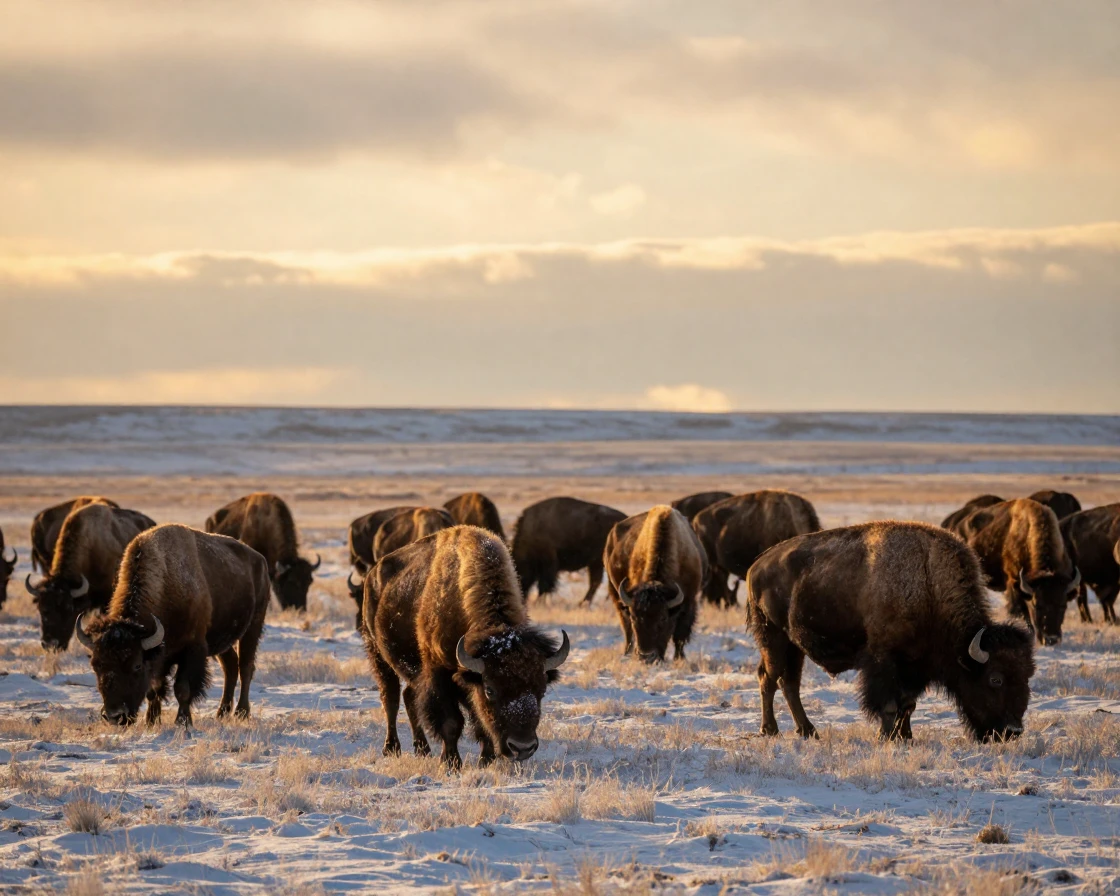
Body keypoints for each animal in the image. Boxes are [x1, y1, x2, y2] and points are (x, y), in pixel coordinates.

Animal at [75, 524, 270, 726]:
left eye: (136, 665)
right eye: (96, 665)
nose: (114, 716)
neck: (166, 582)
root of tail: (260, 560)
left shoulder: (192, 649)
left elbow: (182, 689)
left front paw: (183, 722)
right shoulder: (161, 658)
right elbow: (154, 689)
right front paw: (151, 721)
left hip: (253, 627)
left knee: (246, 667)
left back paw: (242, 713)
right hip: (222, 640)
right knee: (230, 666)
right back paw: (222, 713)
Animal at [361, 525, 569, 767]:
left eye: (542, 689)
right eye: (490, 689)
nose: (522, 747)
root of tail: (372, 575)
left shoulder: (468, 680)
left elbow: (479, 719)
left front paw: (486, 760)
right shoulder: (439, 673)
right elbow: (452, 722)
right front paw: (451, 763)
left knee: (409, 697)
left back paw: (423, 750)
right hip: (377, 654)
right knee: (391, 699)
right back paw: (391, 748)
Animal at [604, 505, 706, 662]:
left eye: (663, 619)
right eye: (635, 617)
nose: (646, 657)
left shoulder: (689, 601)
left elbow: (680, 635)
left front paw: (680, 659)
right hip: (614, 591)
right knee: (626, 629)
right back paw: (627, 653)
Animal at [746, 521, 1035, 742]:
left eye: (1027, 676)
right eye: (995, 679)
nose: (1013, 731)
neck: (927, 583)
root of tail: (756, 566)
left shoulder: (916, 666)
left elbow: (908, 704)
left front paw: (905, 736)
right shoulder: (884, 661)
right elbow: (889, 705)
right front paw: (886, 736)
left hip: (794, 645)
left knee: (789, 683)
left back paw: (808, 731)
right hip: (773, 638)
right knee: (768, 678)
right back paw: (771, 730)